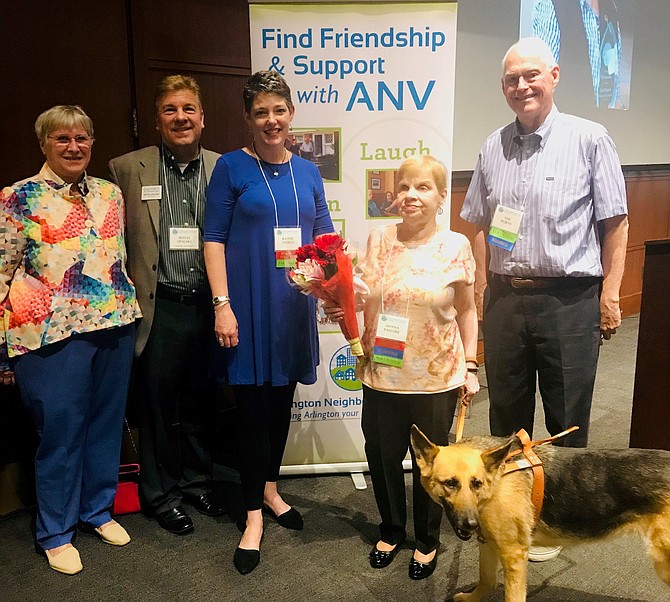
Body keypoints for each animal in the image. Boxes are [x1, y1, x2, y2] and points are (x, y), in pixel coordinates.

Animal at [410, 424, 670, 596]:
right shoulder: (490, 545)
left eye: (477, 484)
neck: (497, 480)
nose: (471, 525)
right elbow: (486, 581)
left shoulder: (513, 555)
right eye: (450, 483)